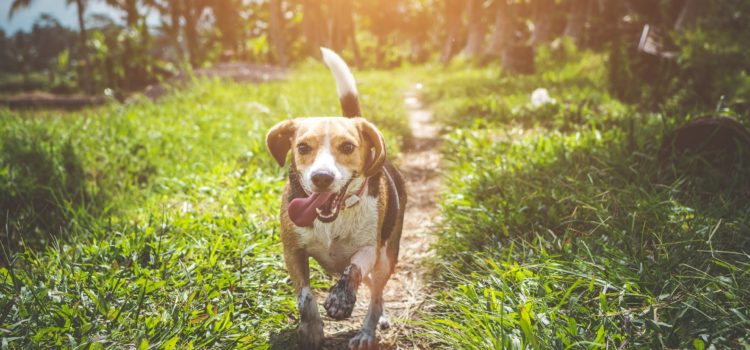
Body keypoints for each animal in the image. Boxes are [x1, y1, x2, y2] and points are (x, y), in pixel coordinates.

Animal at [264, 47, 406, 348]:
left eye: (348, 147)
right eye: (303, 147)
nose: (322, 178)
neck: (334, 219)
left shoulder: (369, 249)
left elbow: (353, 269)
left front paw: (340, 299)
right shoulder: (292, 251)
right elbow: (305, 295)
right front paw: (311, 329)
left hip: (386, 259)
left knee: (375, 295)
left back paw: (367, 332)